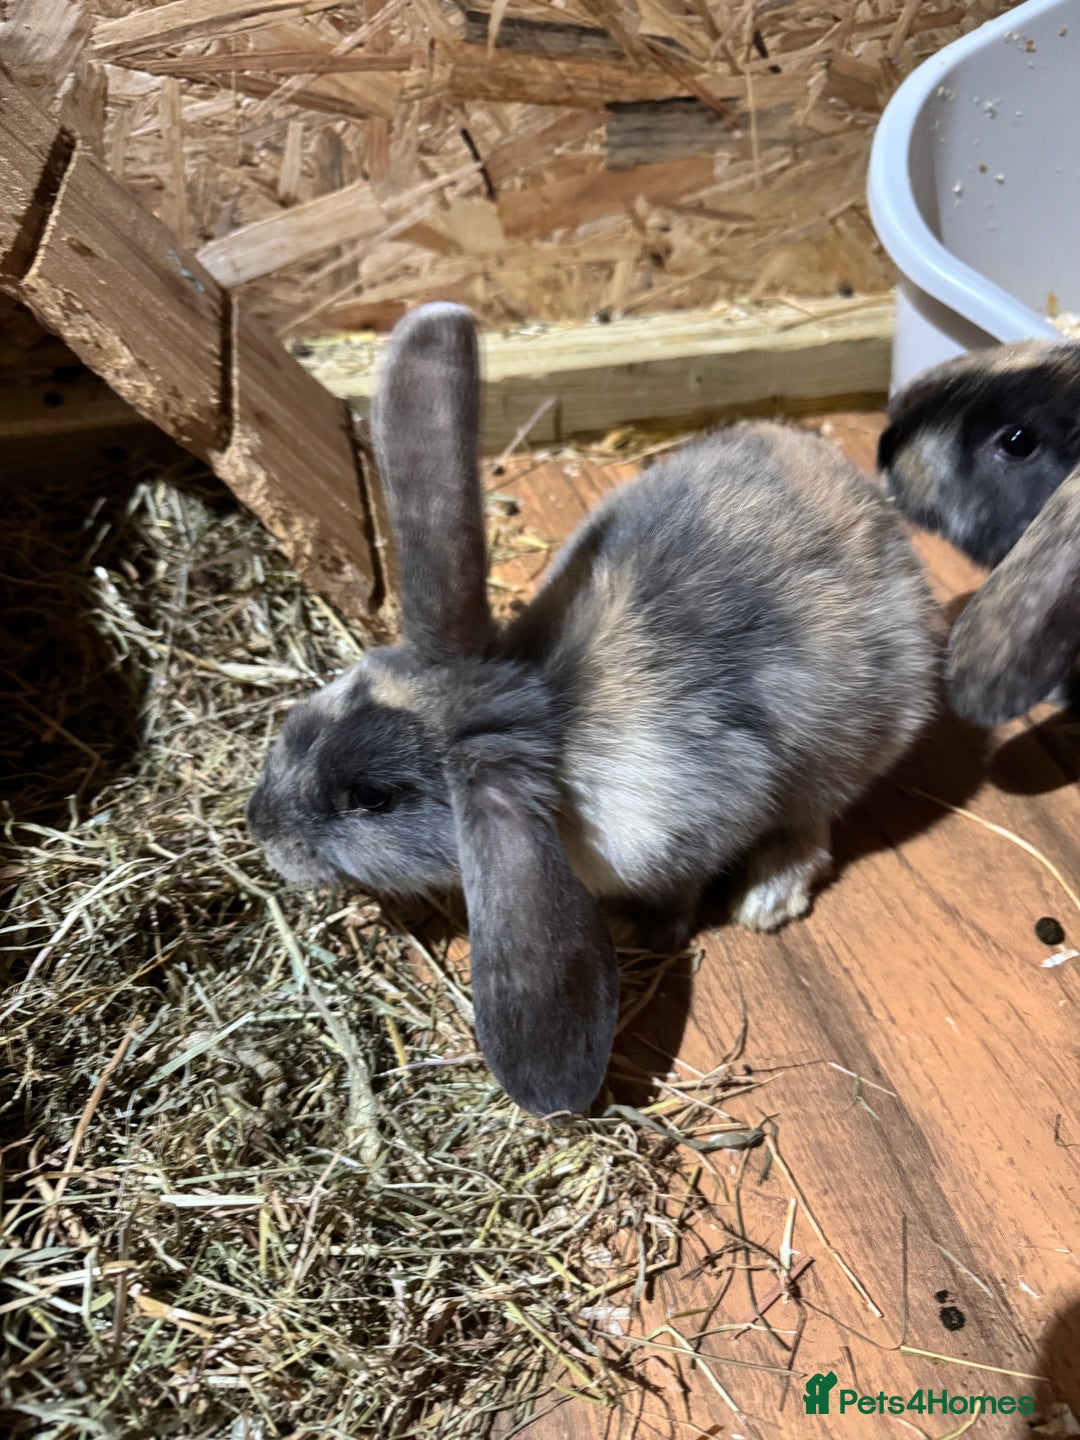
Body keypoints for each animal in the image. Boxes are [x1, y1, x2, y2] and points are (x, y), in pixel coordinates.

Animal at [247, 303, 938, 1117]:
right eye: (325, 704)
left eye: (372, 798)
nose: (259, 829)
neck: (549, 720)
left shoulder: (697, 818)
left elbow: (683, 887)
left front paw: (647, 931)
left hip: (844, 747)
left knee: (813, 827)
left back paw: (766, 899)